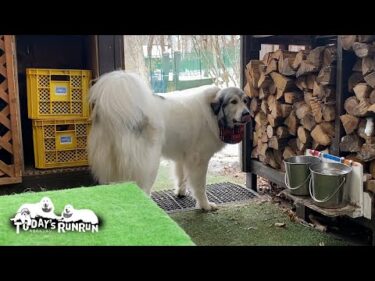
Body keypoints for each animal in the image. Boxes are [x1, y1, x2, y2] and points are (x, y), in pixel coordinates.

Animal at [89, 71, 251, 209]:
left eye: (245, 101)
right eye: (233, 102)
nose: (247, 114)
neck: (212, 113)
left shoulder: (183, 156)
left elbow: (181, 176)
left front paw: (181, 192)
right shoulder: (199, 160)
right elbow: (200, 186)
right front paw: (205, 205)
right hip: (150, 164)